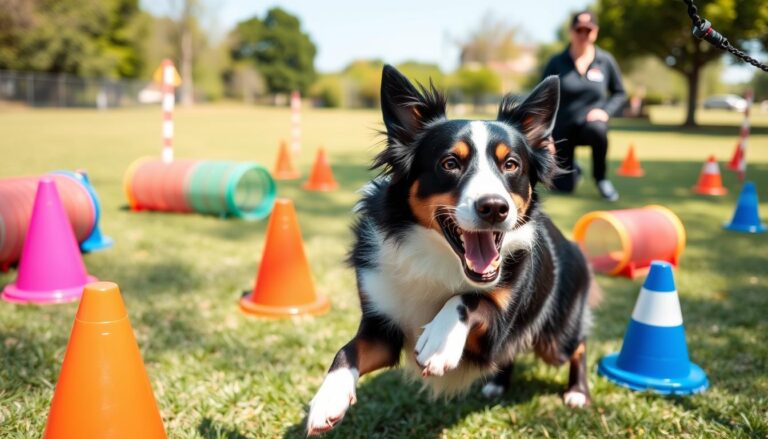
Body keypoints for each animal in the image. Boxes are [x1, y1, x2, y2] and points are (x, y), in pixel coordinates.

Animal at [306, 65, 592, 436]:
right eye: (450, 163)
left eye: (511, 165)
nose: (494, 208)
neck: (439, 257)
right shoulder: (383, 328)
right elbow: (346, 351)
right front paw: (329, 397)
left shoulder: (496, 327)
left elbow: (468, 298)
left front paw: (439, 341)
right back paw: (498, 383)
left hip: (555, 337)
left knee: (578, 344)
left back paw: (577, 391)